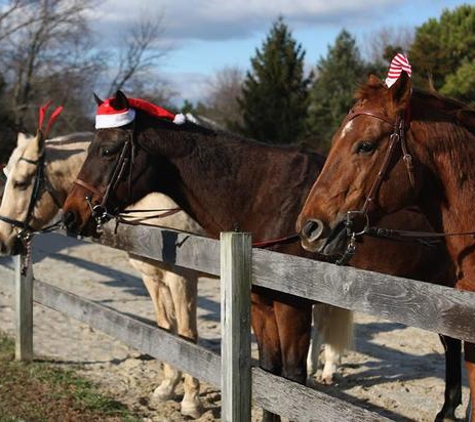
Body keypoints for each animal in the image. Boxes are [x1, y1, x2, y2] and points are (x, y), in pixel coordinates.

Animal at [0, 132, 354, 416]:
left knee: (324, 319)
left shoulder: (182, 278)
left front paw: (191, 401)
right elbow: (165, 329)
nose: (5, 240)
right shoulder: (152, 276)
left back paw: (325, 370)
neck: (152, 202)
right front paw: (167, 386)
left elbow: (186, 335)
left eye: (21, 182)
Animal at [63, 92, 462, 422]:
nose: (70, 215)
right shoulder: (260, 304)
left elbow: (292, 379)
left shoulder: (291, 305)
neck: (266, 196)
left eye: (108, 150)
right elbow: (269, 374)